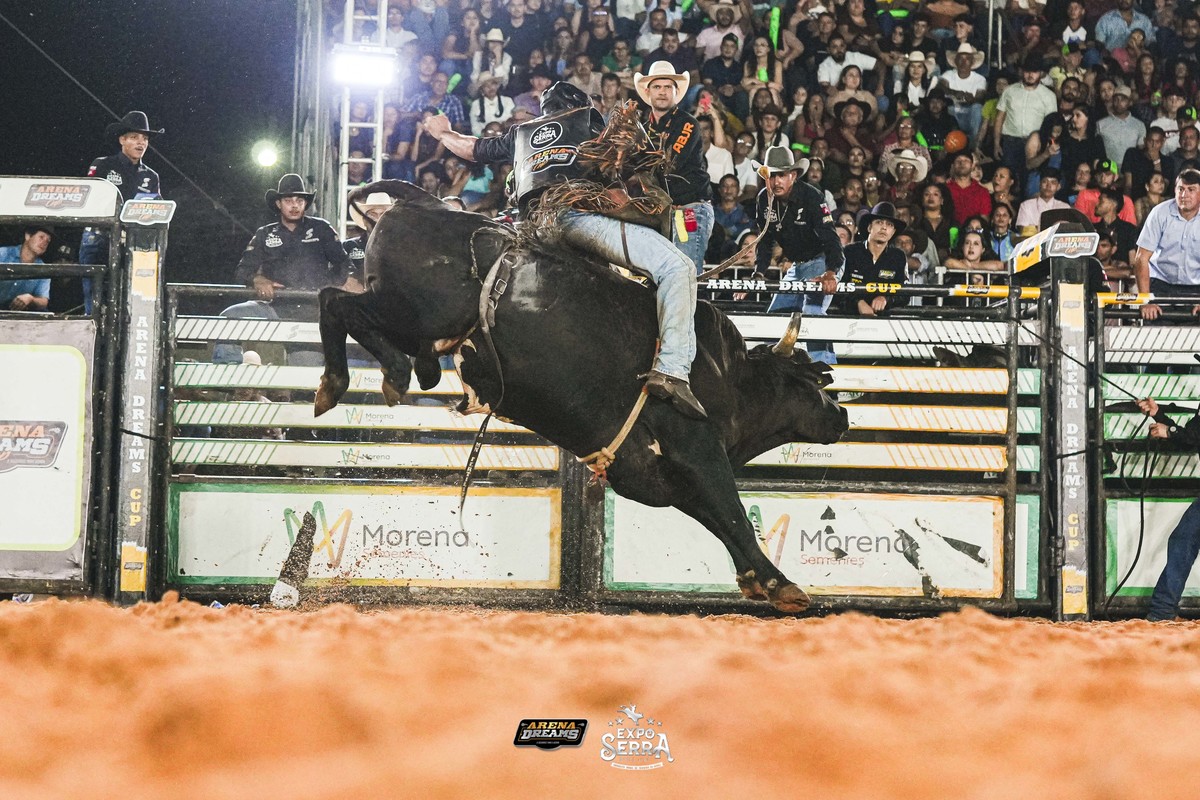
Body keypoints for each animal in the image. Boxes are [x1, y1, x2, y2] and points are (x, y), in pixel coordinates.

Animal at [315, 180, 849, 612]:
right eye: (812, 380)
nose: (843, 416)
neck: (729, 376)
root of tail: (422, 202)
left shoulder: (657, 477)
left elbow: (718, 518)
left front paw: (757, 581)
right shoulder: (697, 447)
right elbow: (733, 513)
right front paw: (782, 585)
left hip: (414, 319)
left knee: (338, 306)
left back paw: (378, 377)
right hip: (413, 311)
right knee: (336, 302)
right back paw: (381, 375)